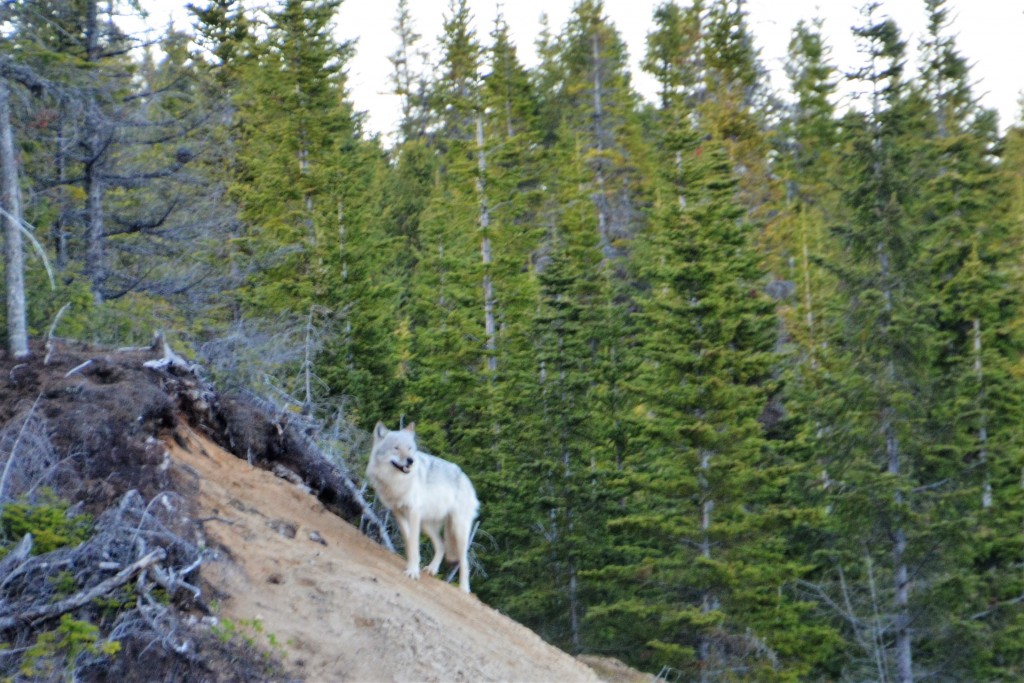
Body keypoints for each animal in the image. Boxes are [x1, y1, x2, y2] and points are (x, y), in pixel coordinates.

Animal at [368, 421, 479, 593]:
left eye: (409, 448)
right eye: (396, 448)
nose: (410, 460)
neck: (397, 482)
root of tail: (466, 478)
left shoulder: (413, 512)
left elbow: (414, 542)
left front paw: (413, 571)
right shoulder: (398, 512)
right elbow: (410, 542)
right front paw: (412, 565)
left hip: (458, 529)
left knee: (464, 562)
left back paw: (464, 589)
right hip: (427, 525)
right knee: (442, 546)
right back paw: (432, 570)